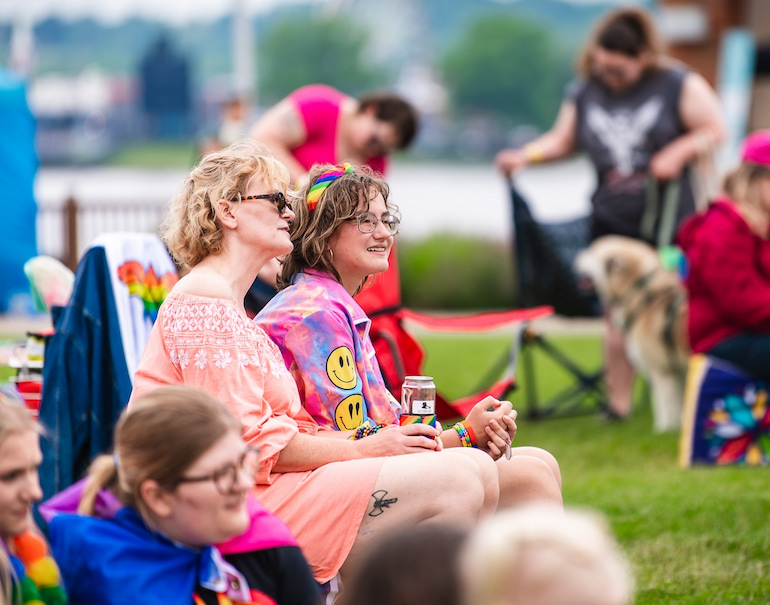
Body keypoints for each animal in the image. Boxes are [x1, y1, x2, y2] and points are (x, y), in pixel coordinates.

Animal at [572, 235, 688, 430]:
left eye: (593, 253)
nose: (576, 258)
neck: (641, 291)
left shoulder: (662, 369)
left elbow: (664, 405)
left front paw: (664, 429)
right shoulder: (677, 370)